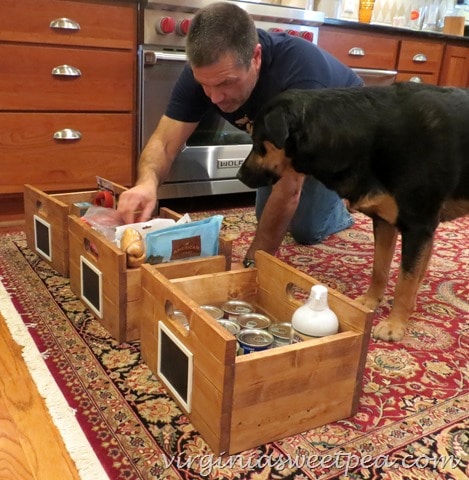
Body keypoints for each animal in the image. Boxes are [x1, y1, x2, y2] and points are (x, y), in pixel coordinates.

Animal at [238, 84, 468, 344]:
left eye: (258, 141)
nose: (239, 175)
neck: (367, 137)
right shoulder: (385, 221)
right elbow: (380, 268)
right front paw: (370, 302)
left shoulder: (418, 226)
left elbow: (405, 281)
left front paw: (395, 323)